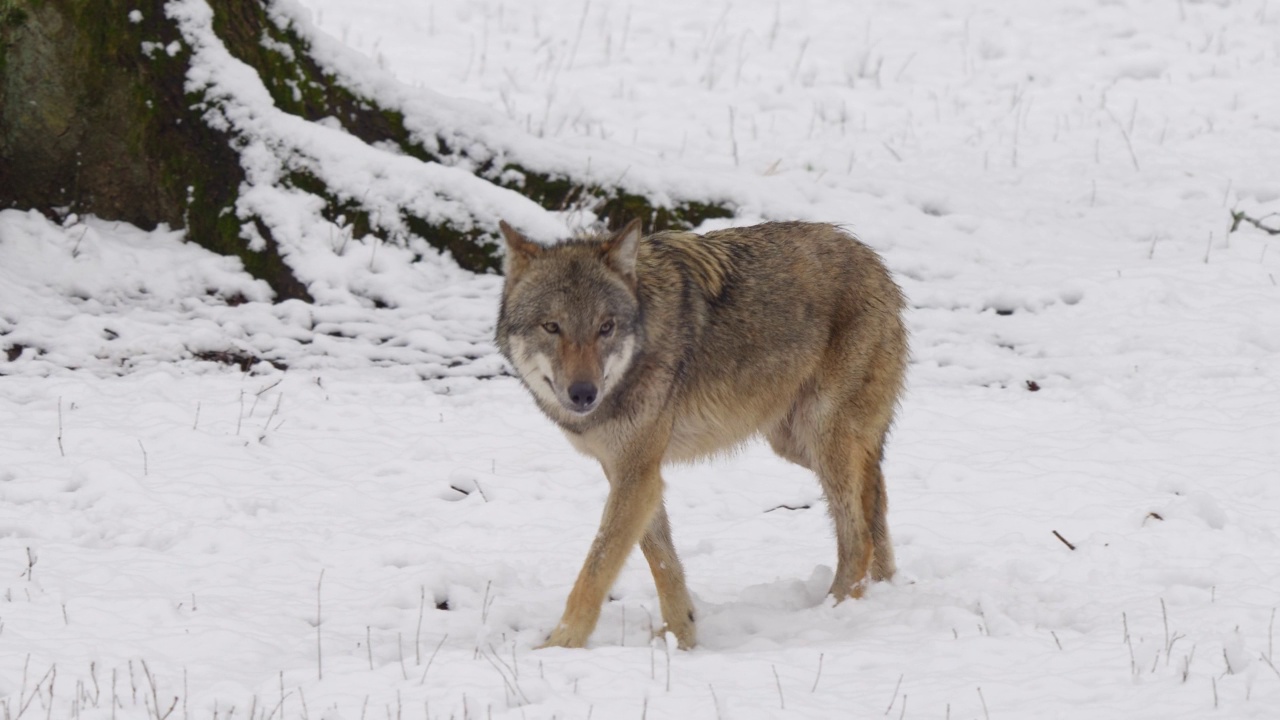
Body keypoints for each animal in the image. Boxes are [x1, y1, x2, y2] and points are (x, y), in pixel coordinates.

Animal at [494, 217, 906, 645]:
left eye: (605, 327)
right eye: (551, 327)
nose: (583, 393)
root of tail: (872, 259)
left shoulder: (637, 475)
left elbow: (596, 570)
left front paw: (559, 645)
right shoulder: (632, 474)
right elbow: (664, 563)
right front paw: (682, 639)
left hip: (821, 439)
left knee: (858, 538)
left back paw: (834, 614)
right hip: (797, 444)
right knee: (876, 499)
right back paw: (883, 589)